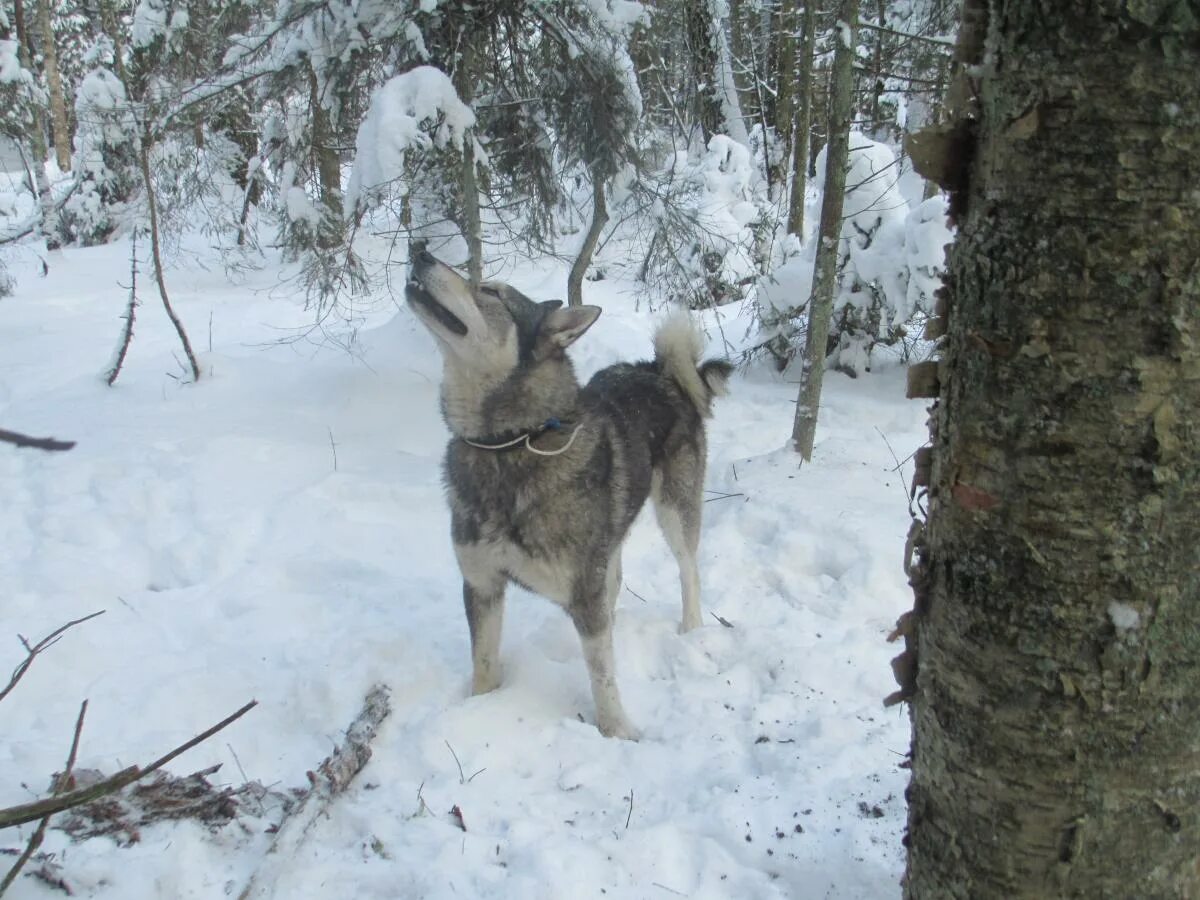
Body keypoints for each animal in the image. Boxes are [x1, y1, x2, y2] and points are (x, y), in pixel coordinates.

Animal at [405, 248, 729, 739]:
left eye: (490, 291)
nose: (420, 249)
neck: (511, 443)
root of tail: (661, 372)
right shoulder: (481, 584)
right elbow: (484, 664)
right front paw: (478, 708)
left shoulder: (583, 594)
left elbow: (601, 676)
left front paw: (617, 732)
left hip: (676, 509)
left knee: (688, 571)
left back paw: (692, 628)